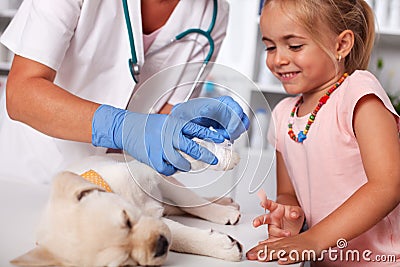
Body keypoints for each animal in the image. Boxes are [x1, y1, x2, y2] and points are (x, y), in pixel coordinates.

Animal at [11, 139, 244, 266]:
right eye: (126, 262)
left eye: (127, 220)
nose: (160, 246)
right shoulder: (158, 223)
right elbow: (181, 235)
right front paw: (222, 246)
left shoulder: (151, 171)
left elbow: (187, 187)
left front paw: (225, 158)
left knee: (185, 196)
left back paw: (223, 205)